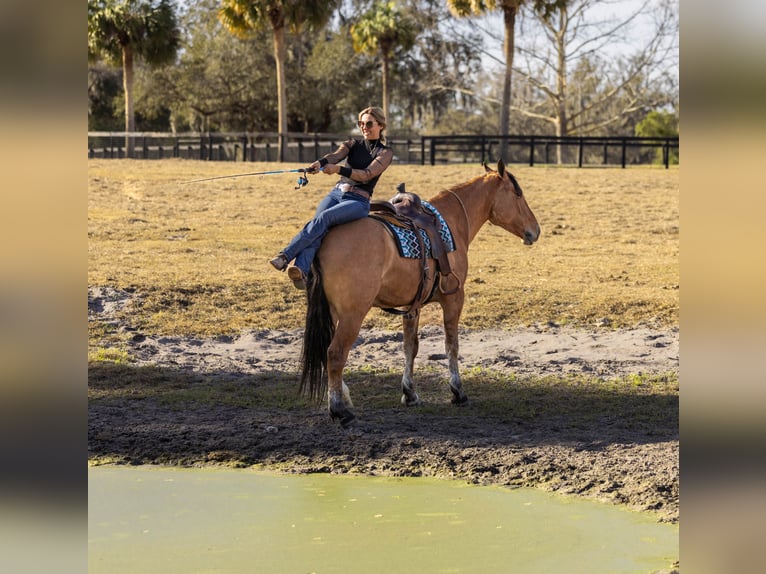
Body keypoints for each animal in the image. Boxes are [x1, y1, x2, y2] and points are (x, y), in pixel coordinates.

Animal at [299, 160, 540, 427]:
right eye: (518, 194)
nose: (535, 230)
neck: (451, 221)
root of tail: (324, 241)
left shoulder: (411, 306)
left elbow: (409, 346)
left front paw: (410, 393)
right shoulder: (454, 299)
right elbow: (451, 345)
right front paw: (457, 391)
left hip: (332, 312)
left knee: (326, 351)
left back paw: (344, 399)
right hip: (353, 314)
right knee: (335, 353)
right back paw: (339, 410)